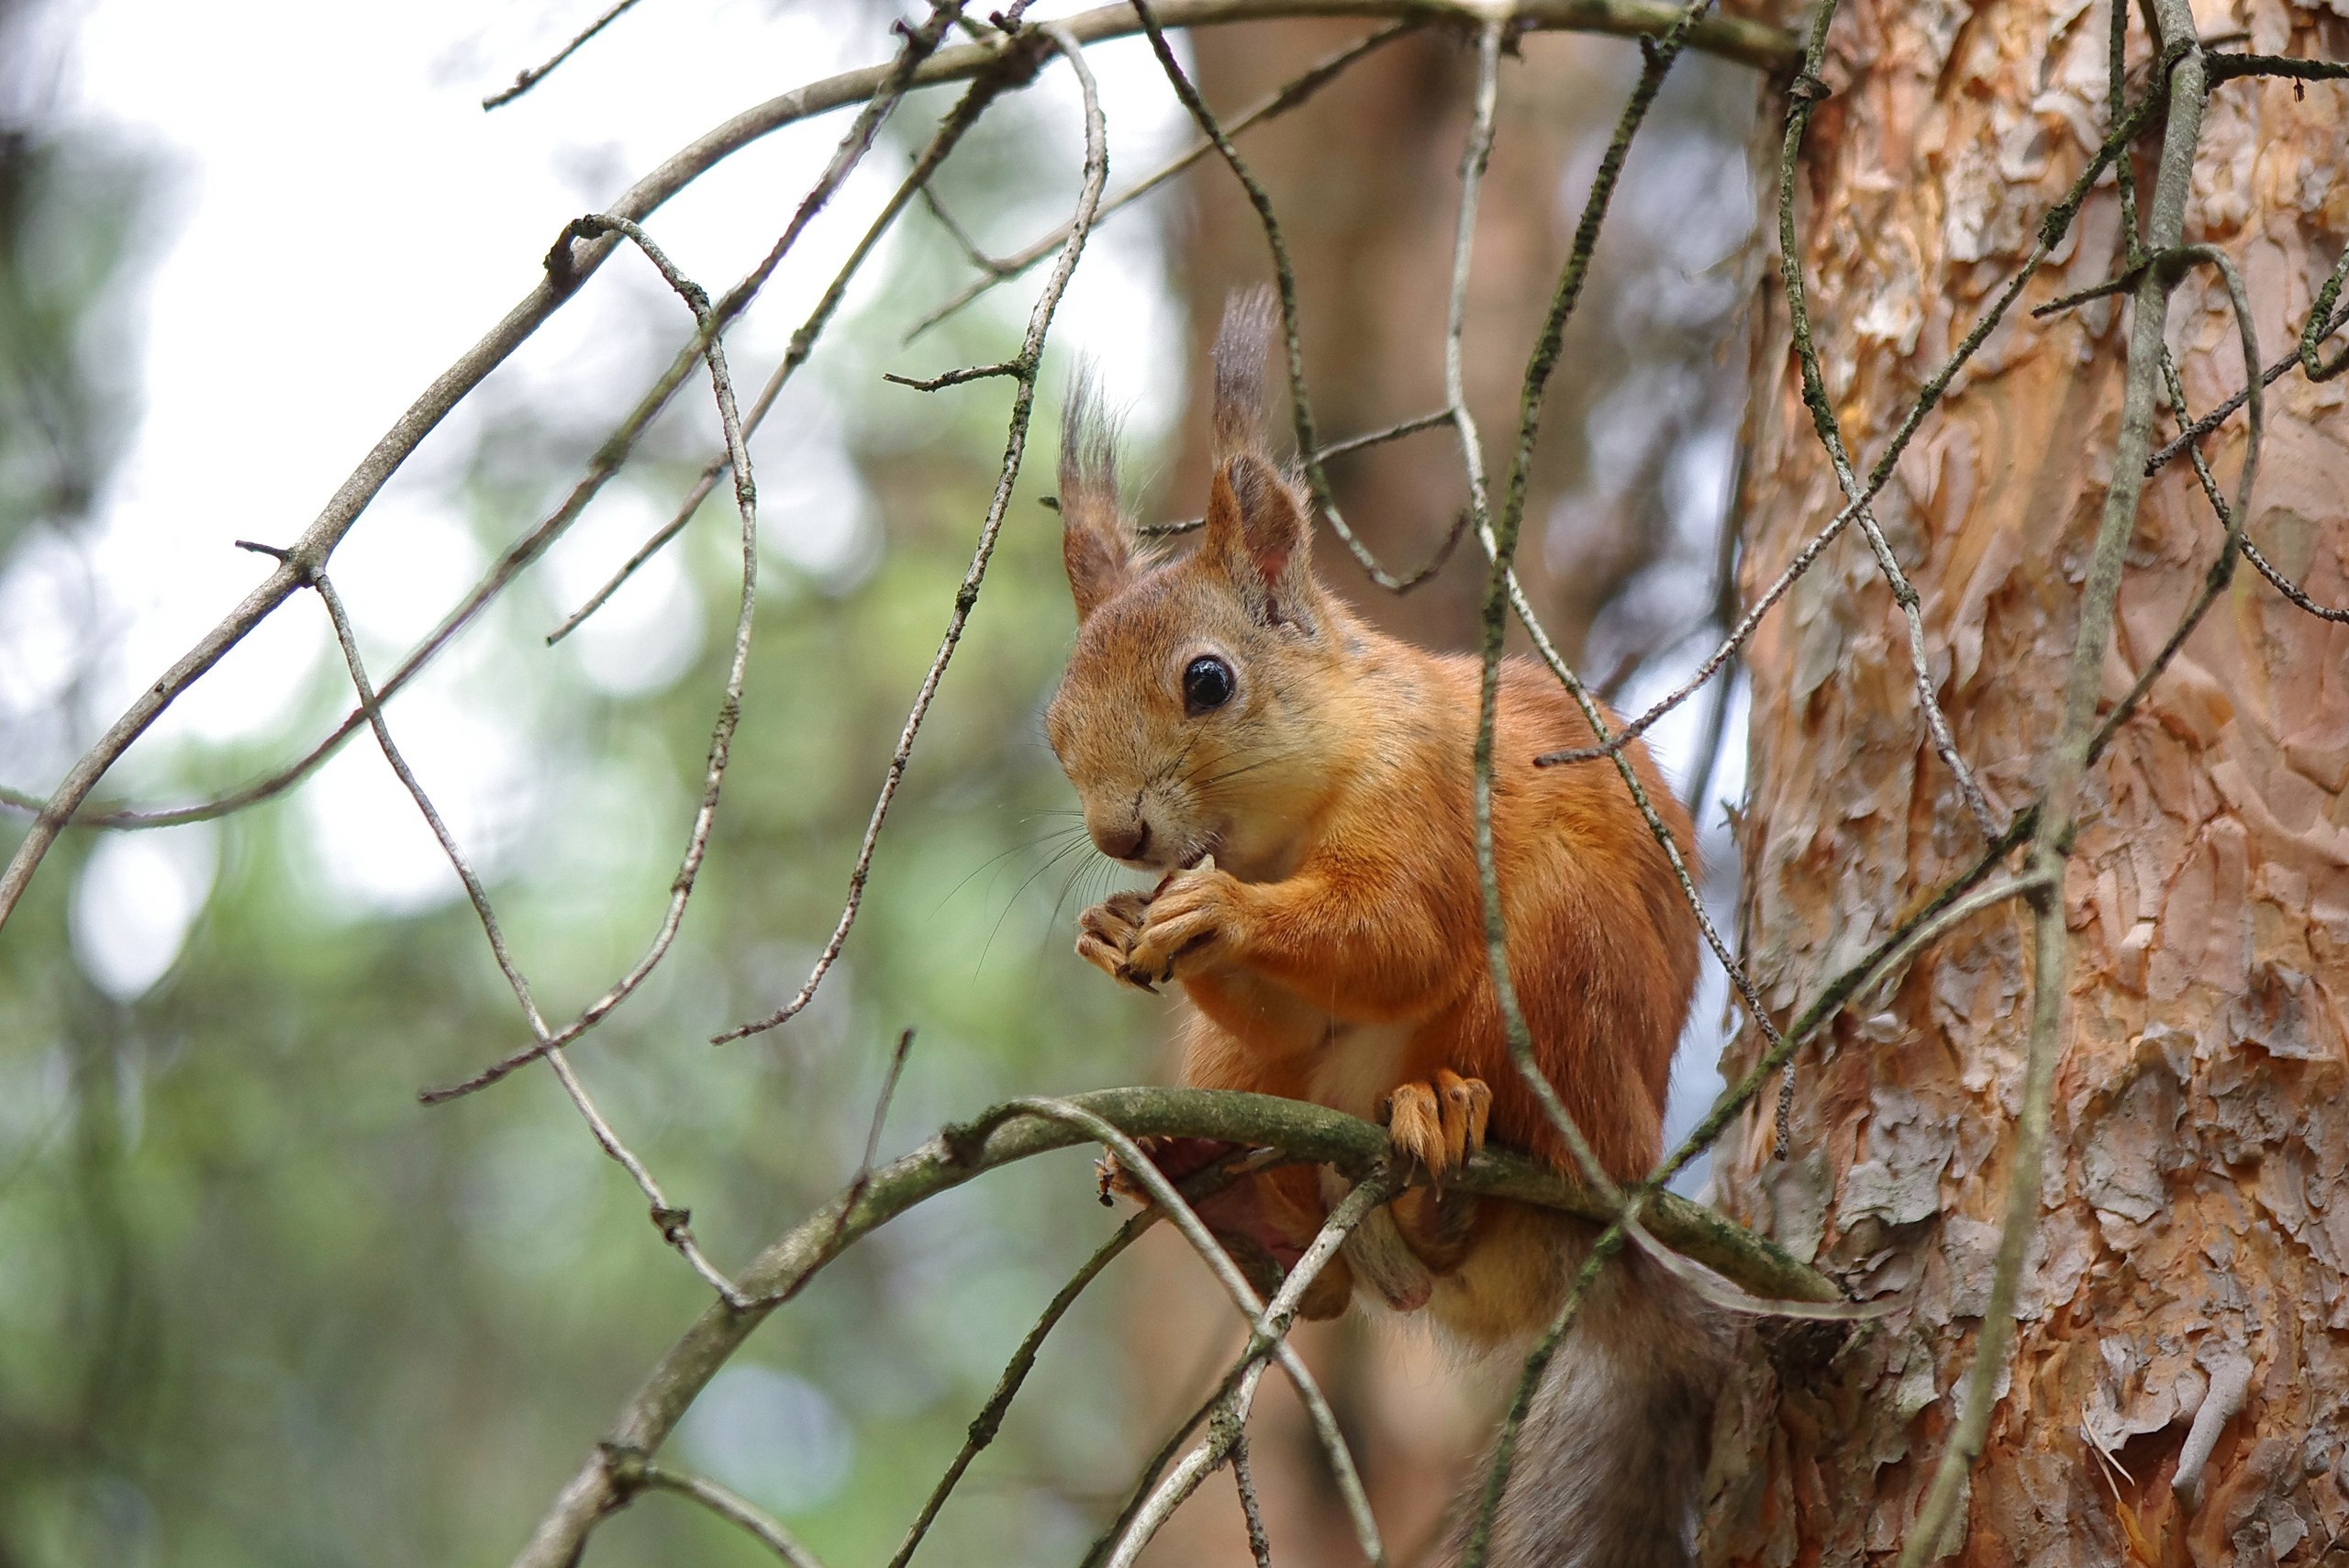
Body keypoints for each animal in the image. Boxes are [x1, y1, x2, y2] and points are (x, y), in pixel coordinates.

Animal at [1057, 291, 1738, 1568]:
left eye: (1208, 681)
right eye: (1057, 722)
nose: (1121, 833)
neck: (1285, 821)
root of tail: (1613, 1221)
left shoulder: (1425, 792)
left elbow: (1397, 936)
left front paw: (1217, 911)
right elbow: (1289, 1006)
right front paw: (1119, 926)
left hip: (1558, 979)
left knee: (1485, 1154)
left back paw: (1442, 1133)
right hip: (1246, 1084)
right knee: (1336, 1276)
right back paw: (1216, 1190)